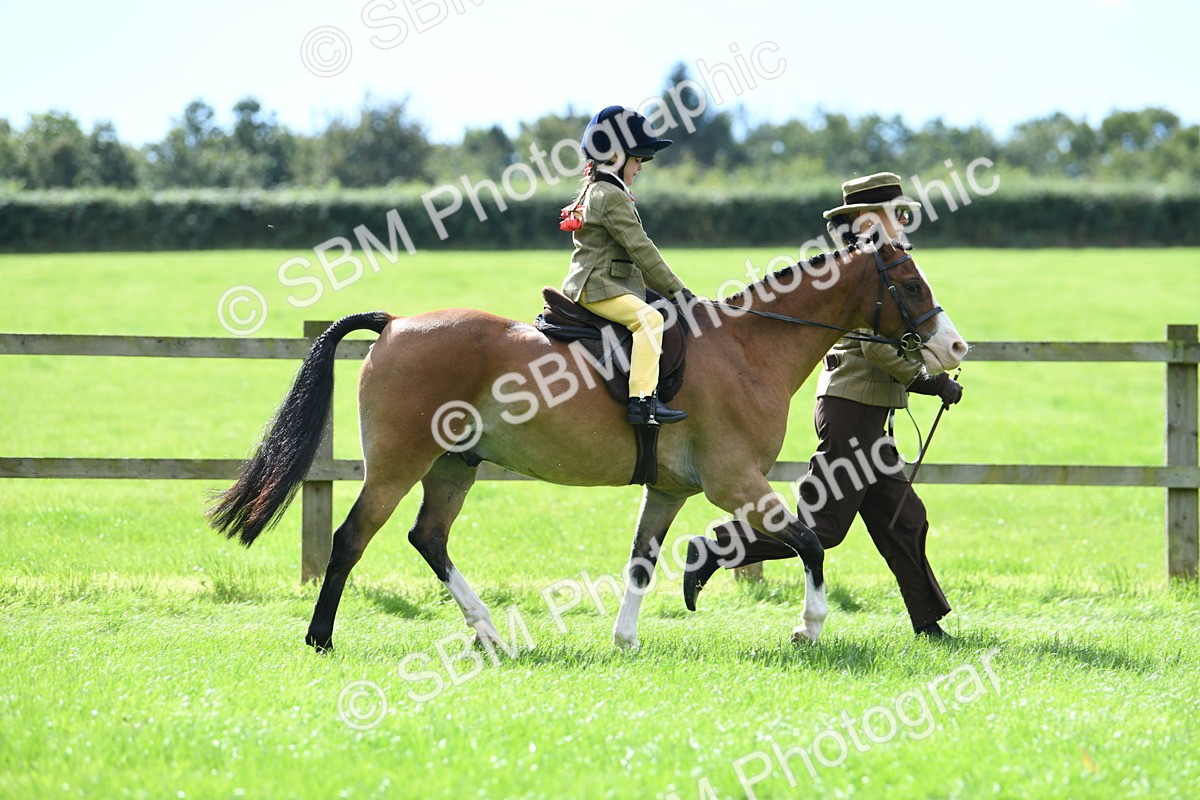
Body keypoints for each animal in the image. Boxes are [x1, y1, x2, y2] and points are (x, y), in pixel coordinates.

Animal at [207, 240, 967, 652]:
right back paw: (321, 637)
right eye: (908, 283)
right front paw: (809, 627)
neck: (748, 345)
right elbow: (809, 541)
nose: (954, 348)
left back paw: (487, 631)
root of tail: (394, 324)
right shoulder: (736, 482)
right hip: (398, 467)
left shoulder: (670, 488)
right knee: (351, 539)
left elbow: (642, 559)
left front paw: (626, 638)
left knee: (429, 538)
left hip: (454, 467)